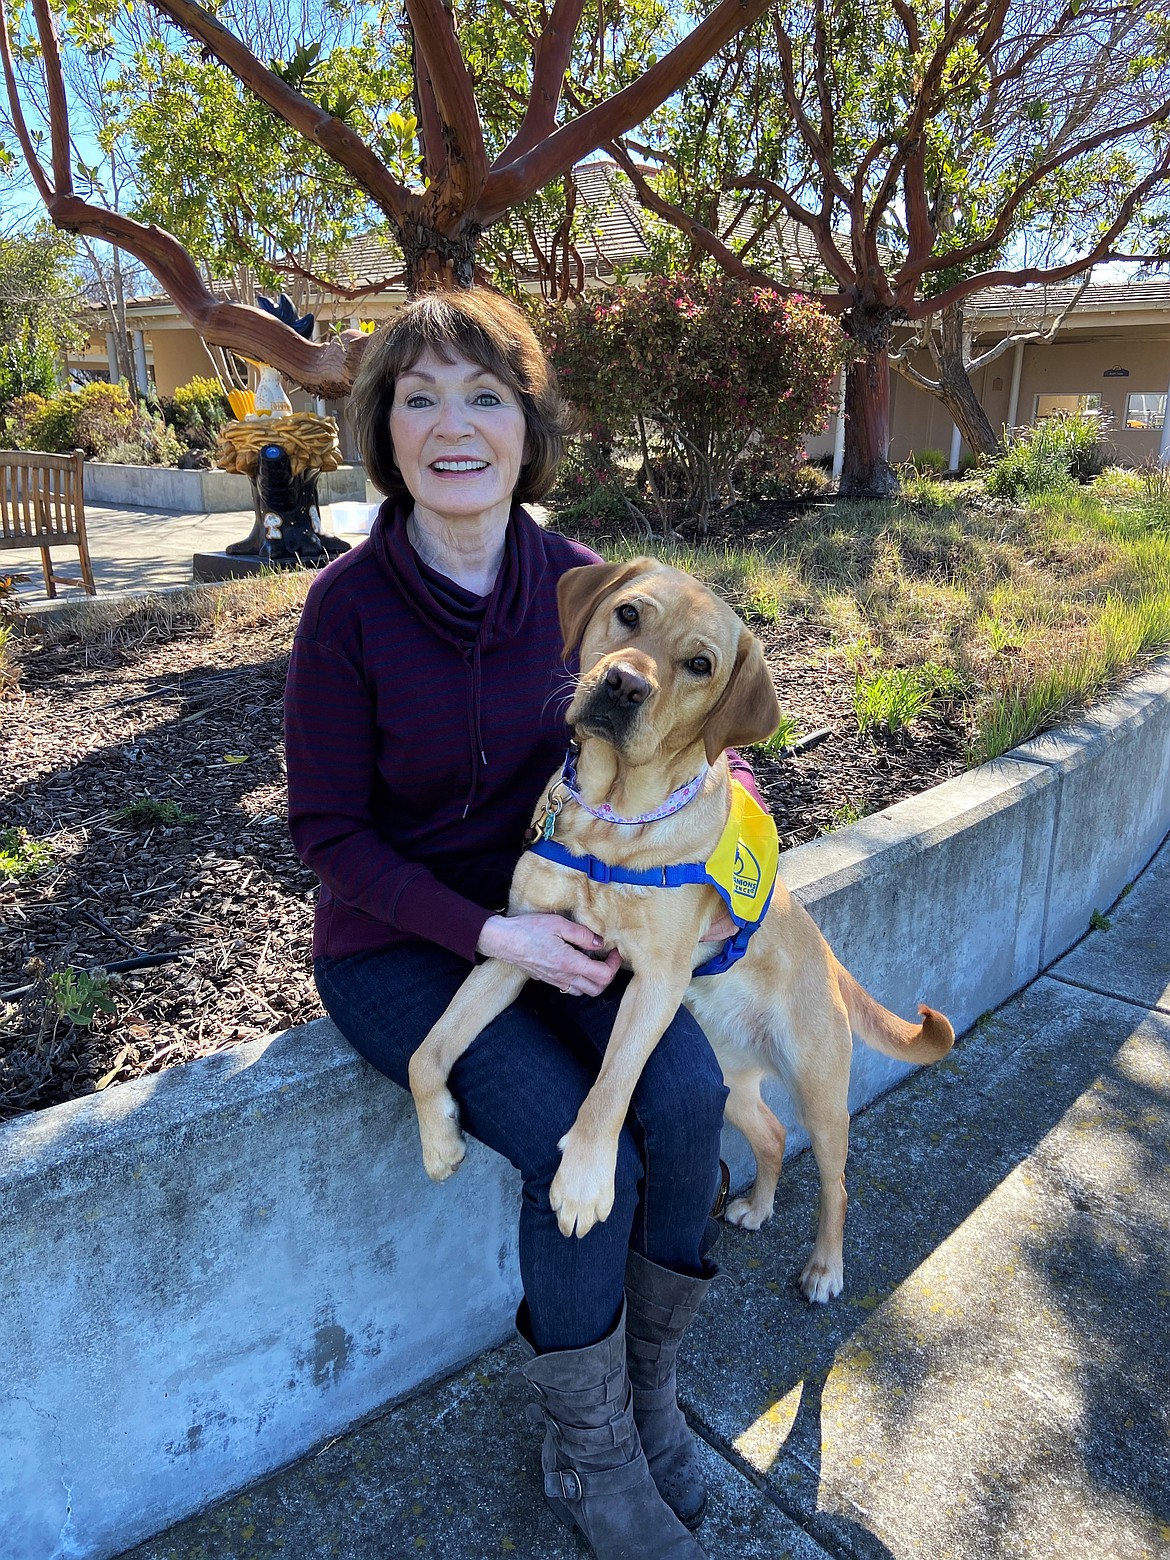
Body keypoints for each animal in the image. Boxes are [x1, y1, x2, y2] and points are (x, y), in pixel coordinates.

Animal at [408, 555, 954, 1297]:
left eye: (700, 664)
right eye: (628, 614)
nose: (624, 683)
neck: (609, 824)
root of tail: (829, 958)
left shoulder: (656, 985)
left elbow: (610, 1088)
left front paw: (584, 1181)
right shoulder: (519, 947)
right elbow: (427, 1051)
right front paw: (439, 1138)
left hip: (819, 1090)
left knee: (837, 1182)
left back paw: (824, 1267)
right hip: (726, 1080)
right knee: (771, 1134)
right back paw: (756, 1203)